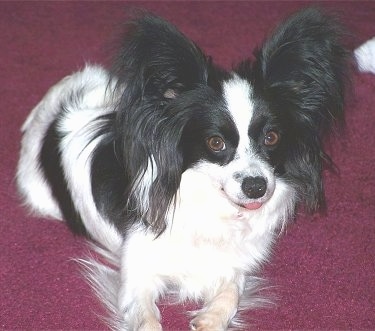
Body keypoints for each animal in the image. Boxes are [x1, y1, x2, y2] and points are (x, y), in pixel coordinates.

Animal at [16, 7, 352, 331]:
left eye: (272, 138)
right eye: (215, 142)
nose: (256, 186)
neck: (210, 204)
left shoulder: (233, 265)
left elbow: (232, 291)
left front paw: (211, 319)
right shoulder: (138, 275)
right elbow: (146, 319)